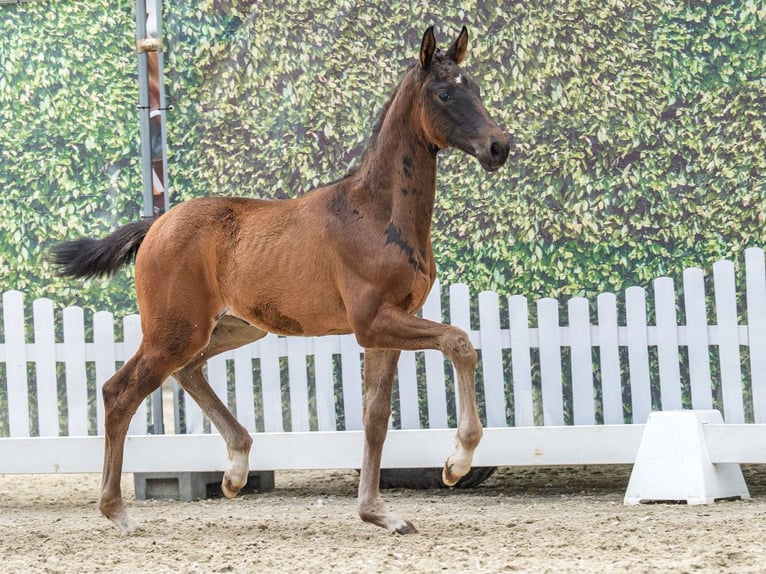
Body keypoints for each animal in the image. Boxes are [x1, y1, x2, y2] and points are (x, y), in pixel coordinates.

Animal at [51, 25, 510, 535]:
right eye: (444, 93)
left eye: (476, 88)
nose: (499, 147)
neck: (376, 213)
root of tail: (156, 224)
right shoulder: (374, 321)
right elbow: (459, 342)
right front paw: (455, 463)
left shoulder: (386, 329)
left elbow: (375, 418)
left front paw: (378, 513)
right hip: (175, 331)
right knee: (119, 393)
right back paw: (118, 510)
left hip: (232, 328)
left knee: (187, 372)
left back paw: (235, 470)